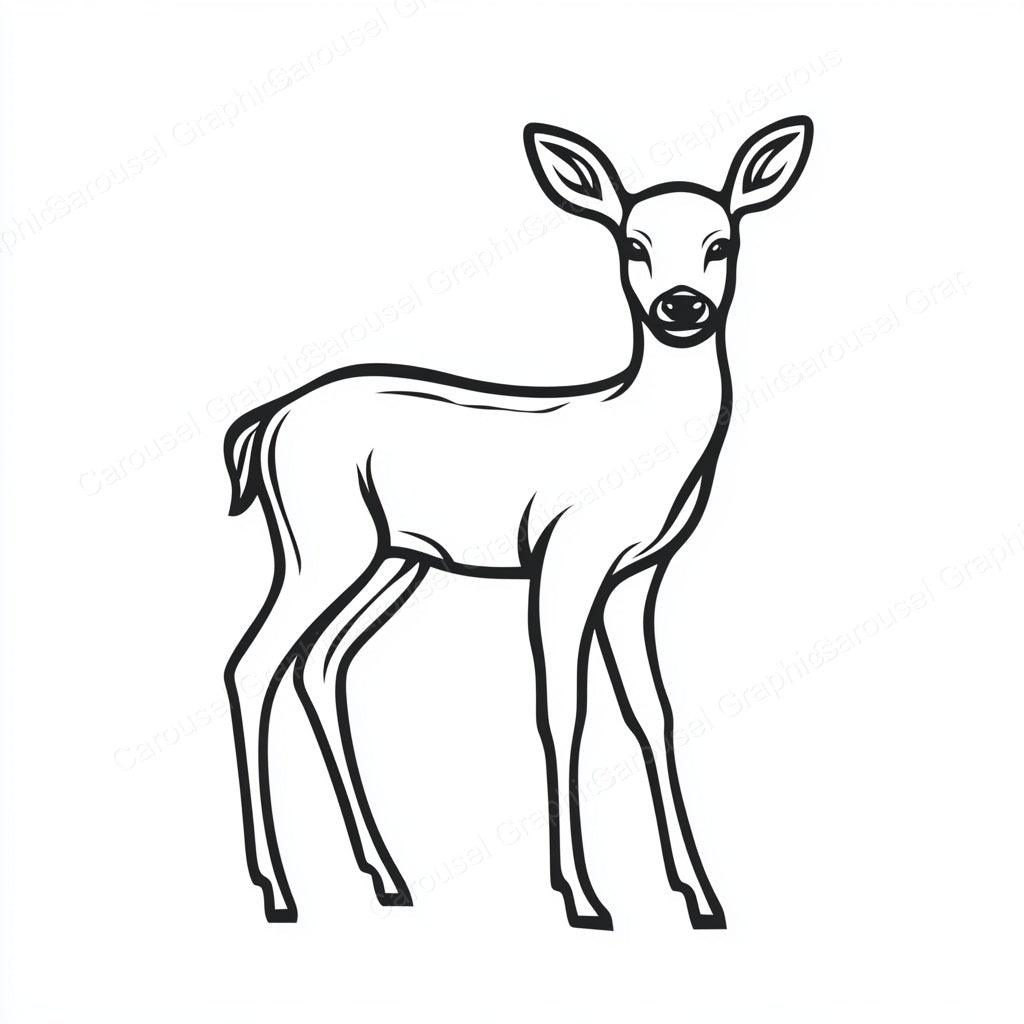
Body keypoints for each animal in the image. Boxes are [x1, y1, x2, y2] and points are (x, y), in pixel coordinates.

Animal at [222, 115, 813, 931]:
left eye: (722, 242)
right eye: (633, 244)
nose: (682, 306)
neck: (639, 439)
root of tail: (267, 421)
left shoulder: (638, 576)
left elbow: (652, 711)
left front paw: (701, 895)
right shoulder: (565, 558)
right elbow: (561, 710)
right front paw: (585, 897)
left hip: (394, 560)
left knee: (321, 664)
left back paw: (387, 878)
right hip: (323, 544)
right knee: (252, 664)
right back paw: (279, 890)